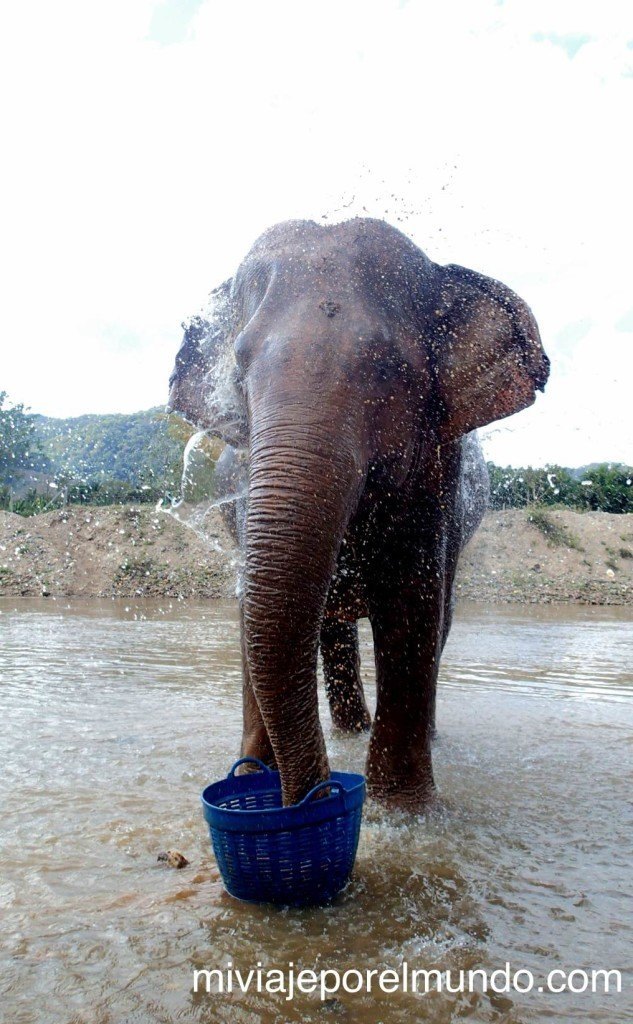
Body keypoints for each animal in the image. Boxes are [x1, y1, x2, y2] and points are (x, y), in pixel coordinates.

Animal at [167, 220, 549, 811]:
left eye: (389, 369)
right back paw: (349, 732)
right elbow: (250, 611)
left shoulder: (436, 469)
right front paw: (247, 778)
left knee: (441, 616)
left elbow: (412, 603)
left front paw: (403, 813)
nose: (315, 796)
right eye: (239, 369)